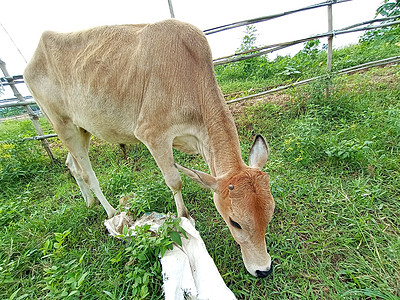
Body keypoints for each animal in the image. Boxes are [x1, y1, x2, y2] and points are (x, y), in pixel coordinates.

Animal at [24, 18, 276, 276]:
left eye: (270, 214)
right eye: (235, 222)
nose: (263, 269)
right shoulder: (153, 135)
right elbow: (175, 181)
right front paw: (184, 218)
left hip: (80, 128)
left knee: (72, 165)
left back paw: (89, 201)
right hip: (62, 124)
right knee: (86, 173)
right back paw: (110, 212)